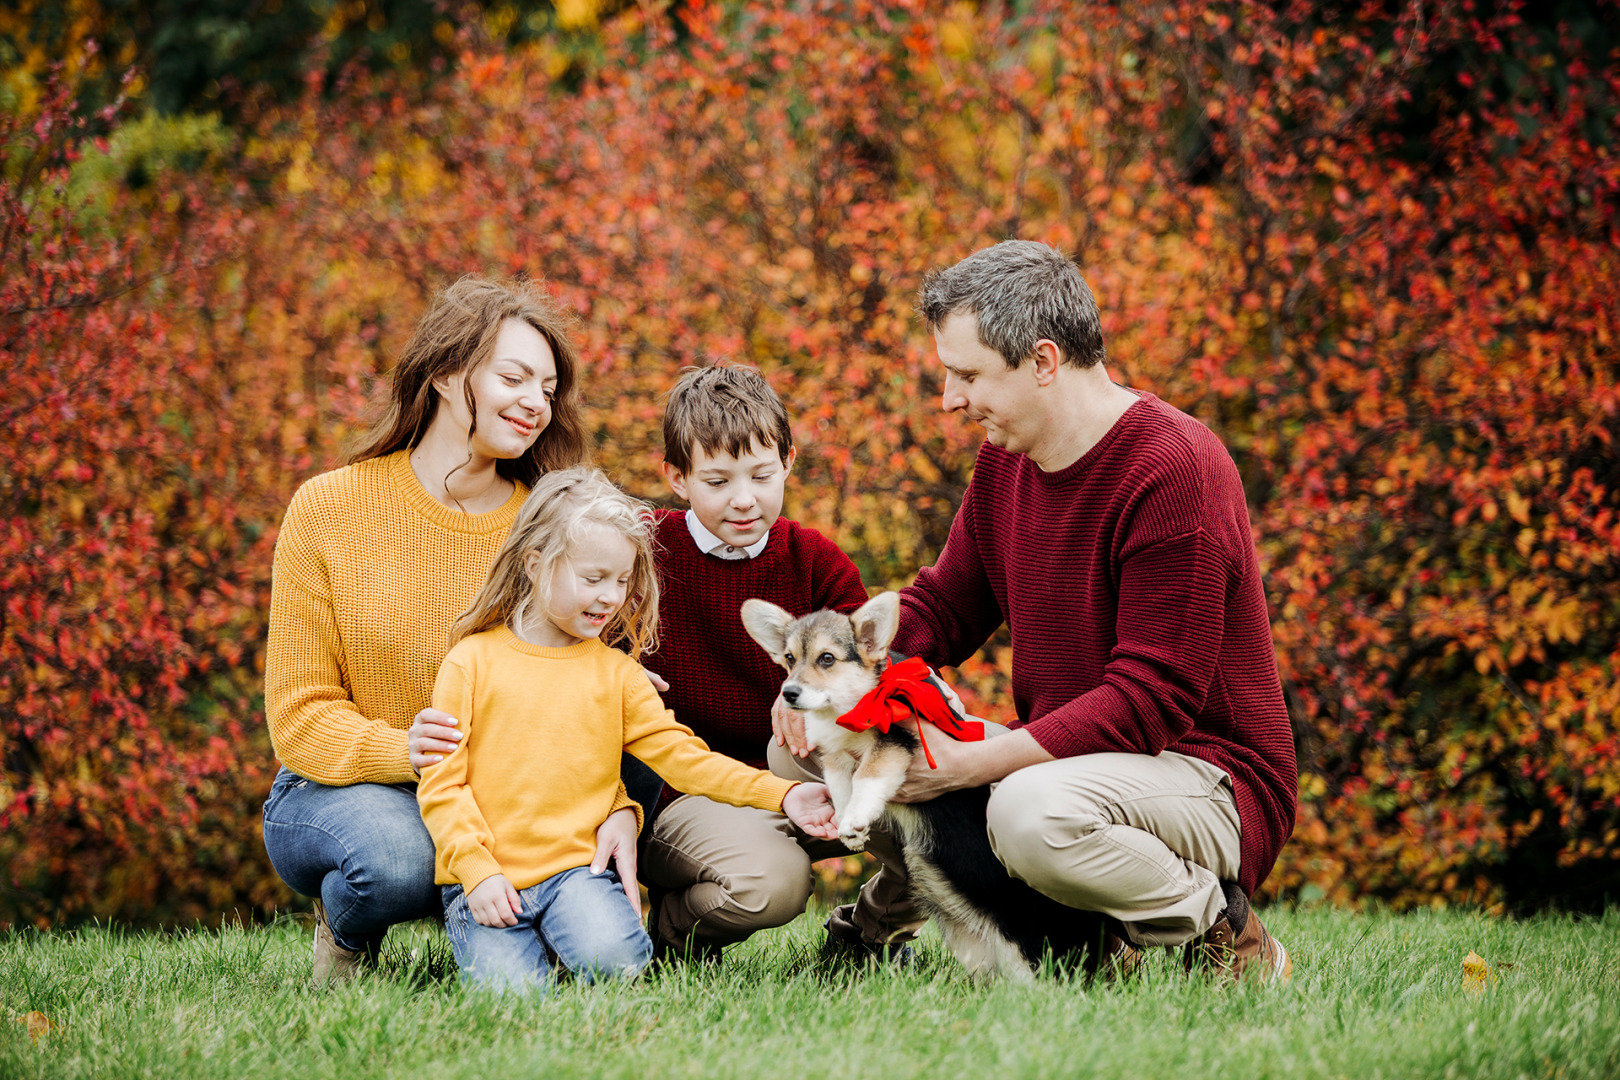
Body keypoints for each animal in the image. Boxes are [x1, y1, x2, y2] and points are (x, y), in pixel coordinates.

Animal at [741, 592, 1114, 977]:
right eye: (789, 658)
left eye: (827, 658)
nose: (789, 694)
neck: (852, 702)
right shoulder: (835, 756)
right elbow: (842, 785)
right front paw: (850, 827)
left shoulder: (895, 741)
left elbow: (867, 774)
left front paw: (856, 819)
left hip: (1030, 934)